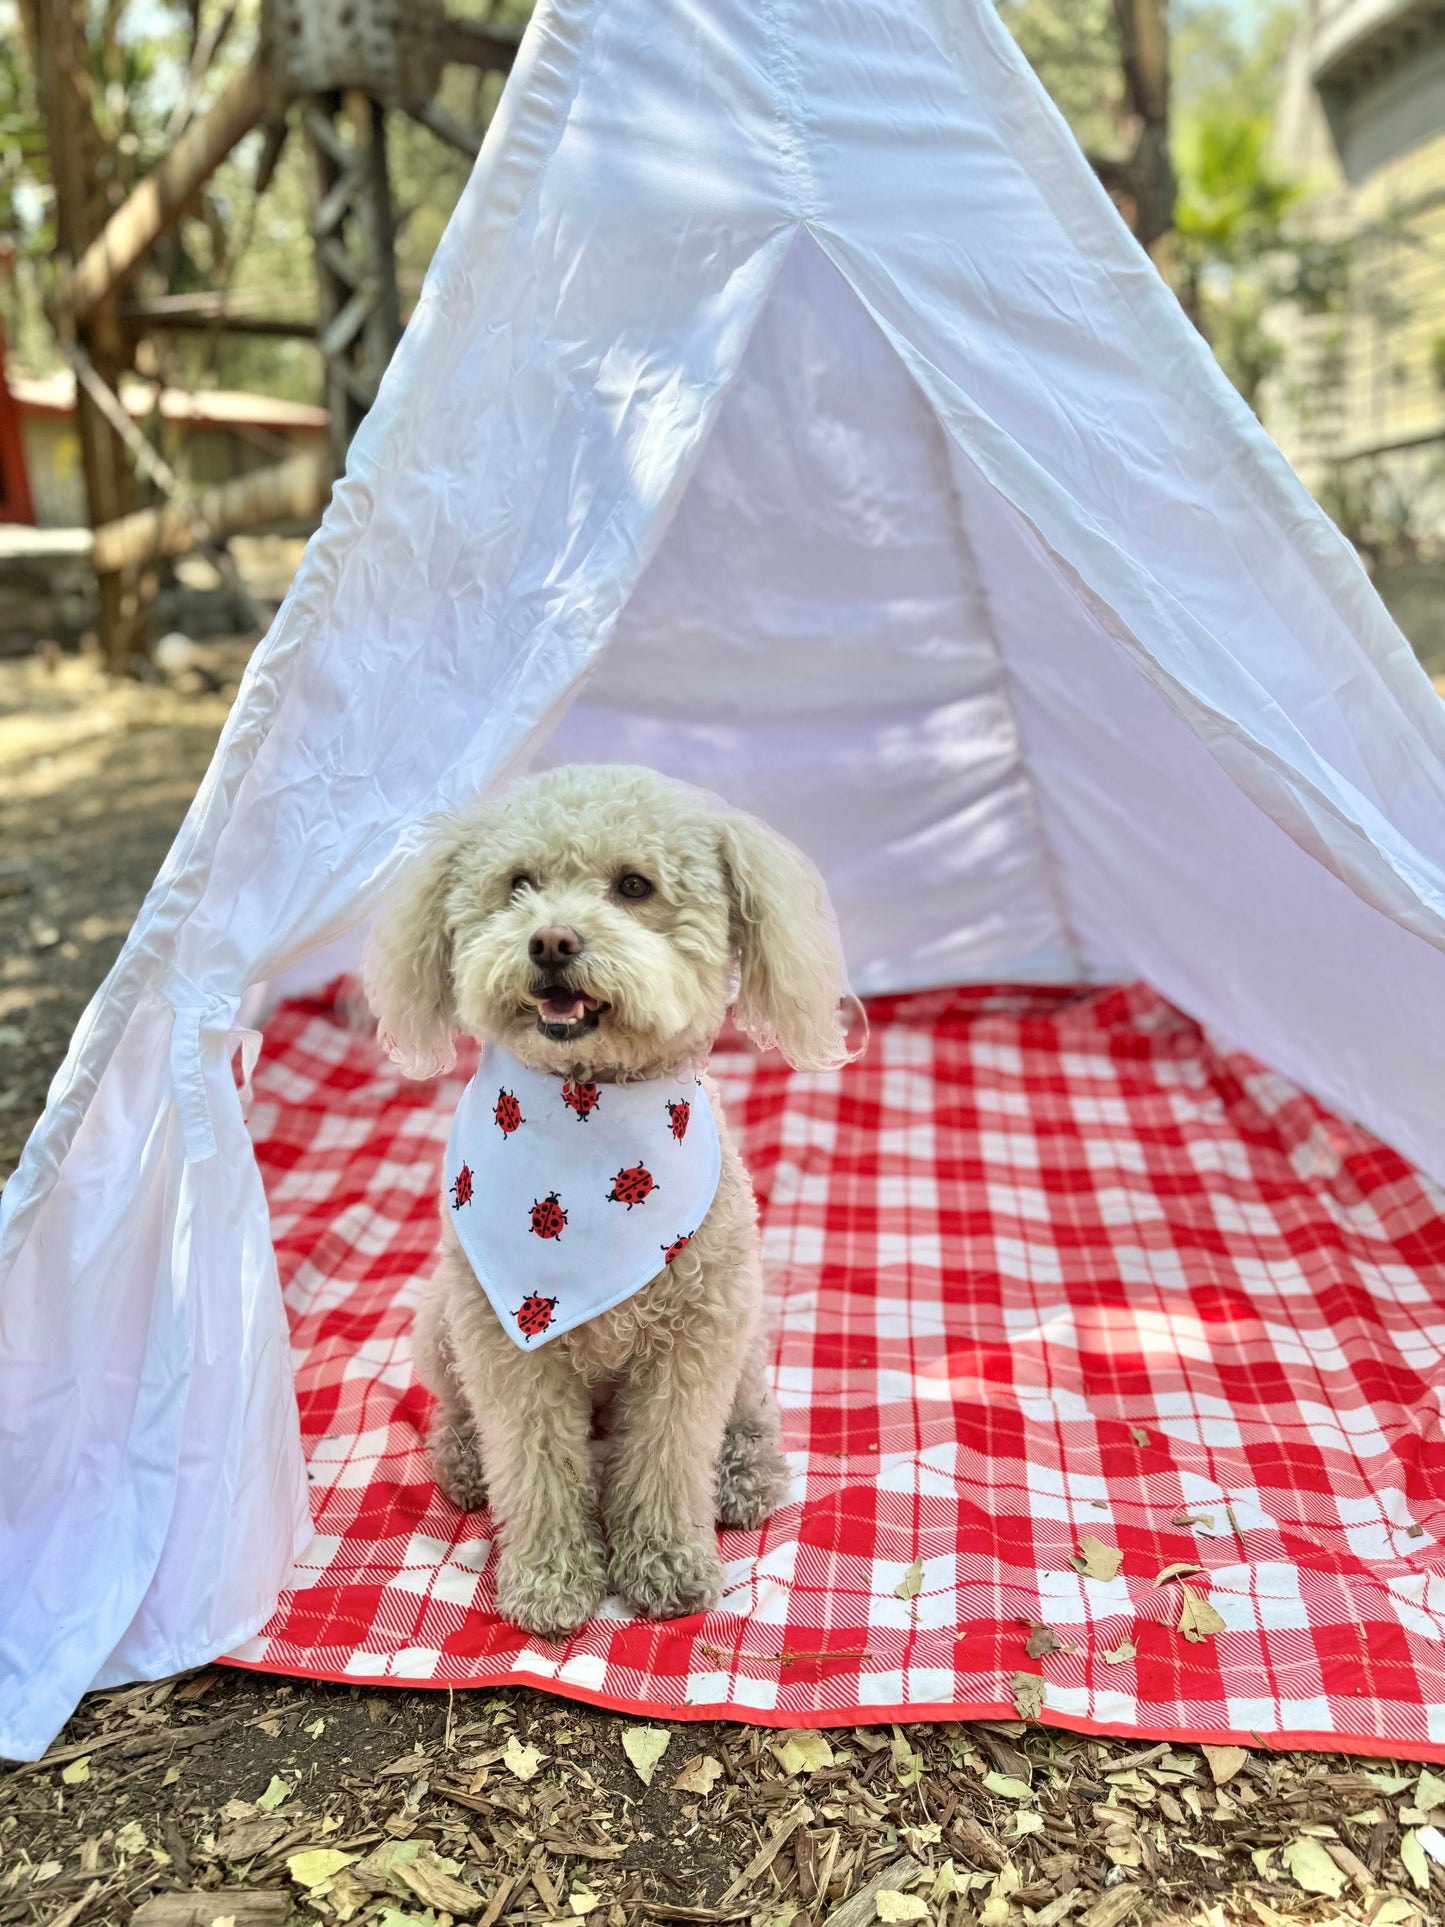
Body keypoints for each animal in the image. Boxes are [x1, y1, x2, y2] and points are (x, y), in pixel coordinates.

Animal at [367, 759, 855, 1634]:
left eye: (634, 884)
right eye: (518, 884)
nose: (551, 940)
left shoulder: (691, 1344)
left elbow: (663, 1459)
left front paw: (664, 1565)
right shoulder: (511, 1353)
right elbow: (537, 1468)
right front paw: (551, 1579)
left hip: (742, 1326)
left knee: (746, 1408)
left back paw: (744, 1472)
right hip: (440, 1324)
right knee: (458, 1414)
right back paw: (464, 1462)